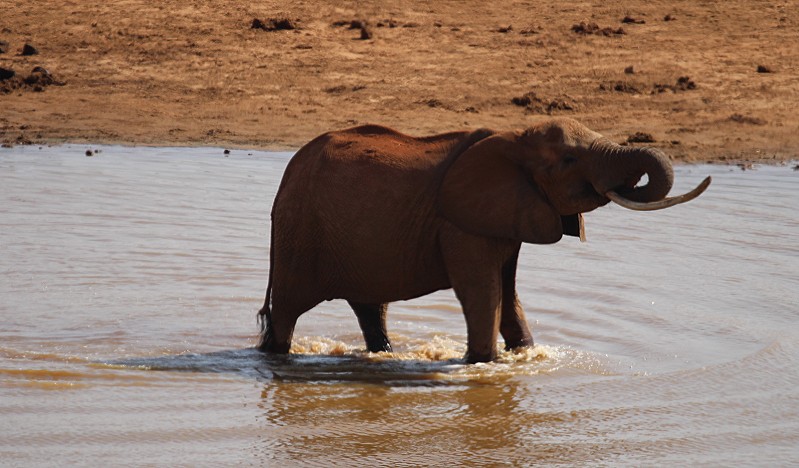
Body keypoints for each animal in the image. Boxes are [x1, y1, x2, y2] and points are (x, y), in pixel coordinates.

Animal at [255, 117, 708, 362]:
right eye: (568, 160)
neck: (514, 137)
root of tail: (288, 173)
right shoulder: (461, 227)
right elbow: (483, 292)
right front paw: (481, 363)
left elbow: (508, 292)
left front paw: (522, 355)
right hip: (299, 232)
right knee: (288, 311)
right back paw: (274, 357)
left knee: (370, 307)